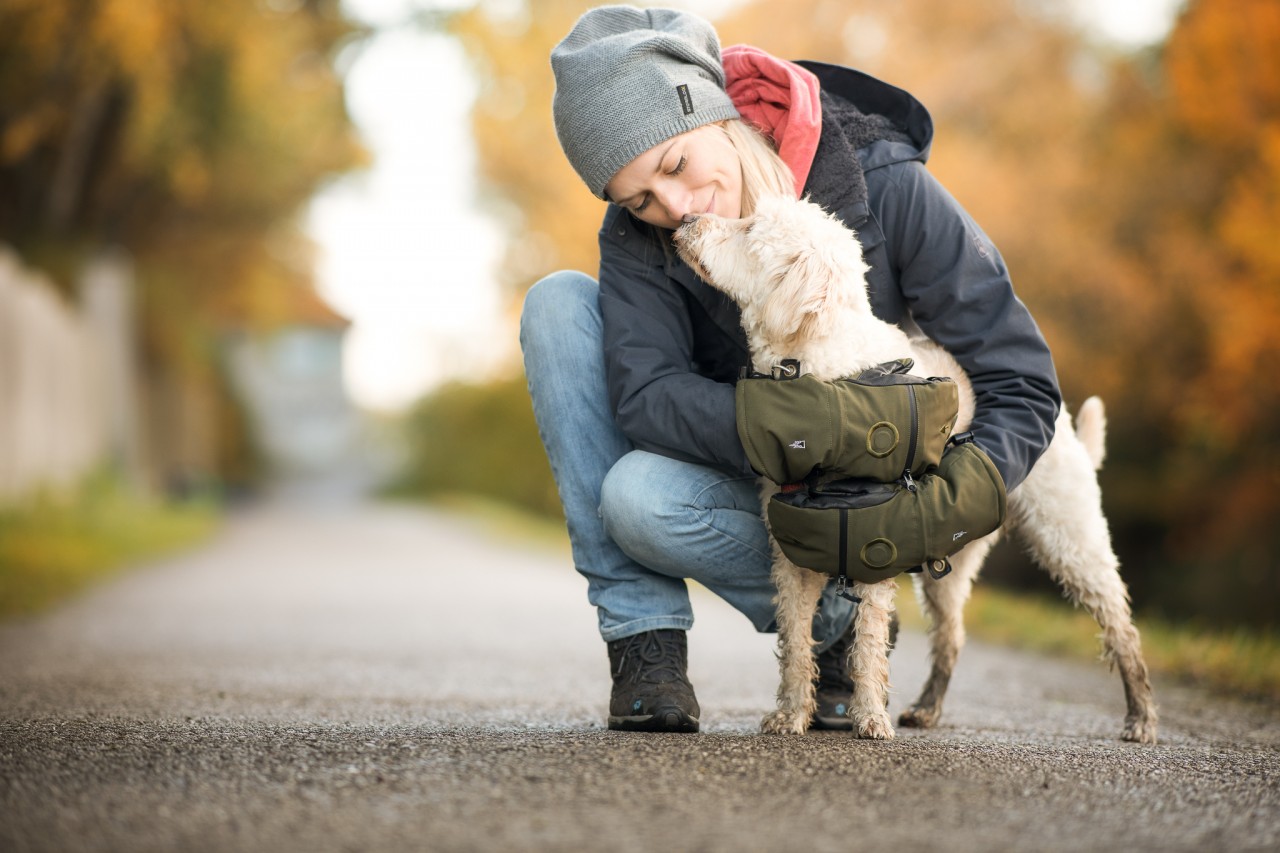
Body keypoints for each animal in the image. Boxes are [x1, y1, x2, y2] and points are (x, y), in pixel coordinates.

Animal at [675, 195, 1157, 742]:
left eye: (751, 230)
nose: (686, 218)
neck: (829, 373)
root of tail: (1064, 419)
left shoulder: (874, 548)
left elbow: (867, 645)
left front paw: (869, 717)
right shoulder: (793, 556)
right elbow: (796, 642)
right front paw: (792, 714)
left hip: (1071, 537)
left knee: (1122, 628)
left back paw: (1140, 717)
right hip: (948, 559)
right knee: (951, 634)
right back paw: (927, 708)